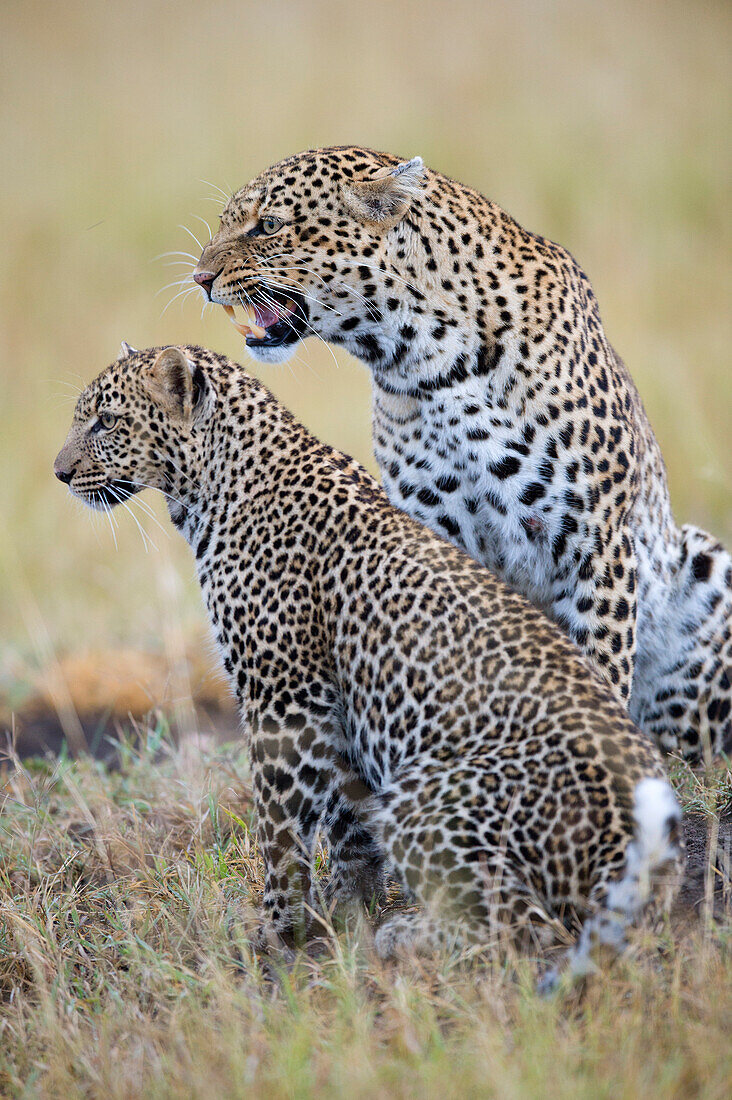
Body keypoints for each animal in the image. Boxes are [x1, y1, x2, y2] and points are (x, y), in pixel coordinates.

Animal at [54, 341, 682, 981]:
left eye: (105, 421)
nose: (60, 473)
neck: (209, 492)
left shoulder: (285, 700)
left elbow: (279, 830)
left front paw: (278, 927)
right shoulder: (337, 707)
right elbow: (346, 822)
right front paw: (343, 908)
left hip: (426, 793)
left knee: (526, 925)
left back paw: (407, 937)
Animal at [191, 148, 726, 765]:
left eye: (269, 226)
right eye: (227, 222)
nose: (200, 279)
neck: (426, 363)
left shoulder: (595, 540)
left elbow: (602, 663)